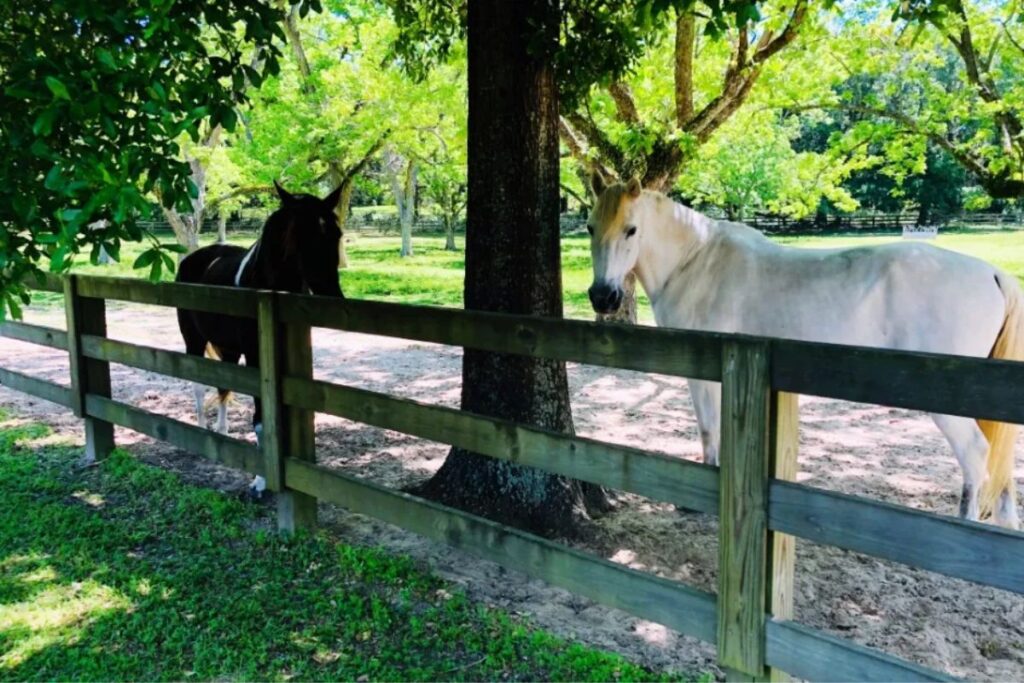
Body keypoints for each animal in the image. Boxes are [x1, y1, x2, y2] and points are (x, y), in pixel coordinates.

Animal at [176, 181, 344, 497]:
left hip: (228, 349)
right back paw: (202, 431)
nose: (333, 297)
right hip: (194, 340)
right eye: (301, 235)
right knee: (198, 383)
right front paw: (261, 481)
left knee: (223, 385)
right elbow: (261, 419)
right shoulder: (257, 358)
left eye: (336, 234)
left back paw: (222, 431)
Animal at [585, 175, 1024, 528]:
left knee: (975, 453)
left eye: (631, 229)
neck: (696, 263)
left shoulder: (705, 376)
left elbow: (709, 429)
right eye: (590, 227)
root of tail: (992, 274)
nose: (603, 297)